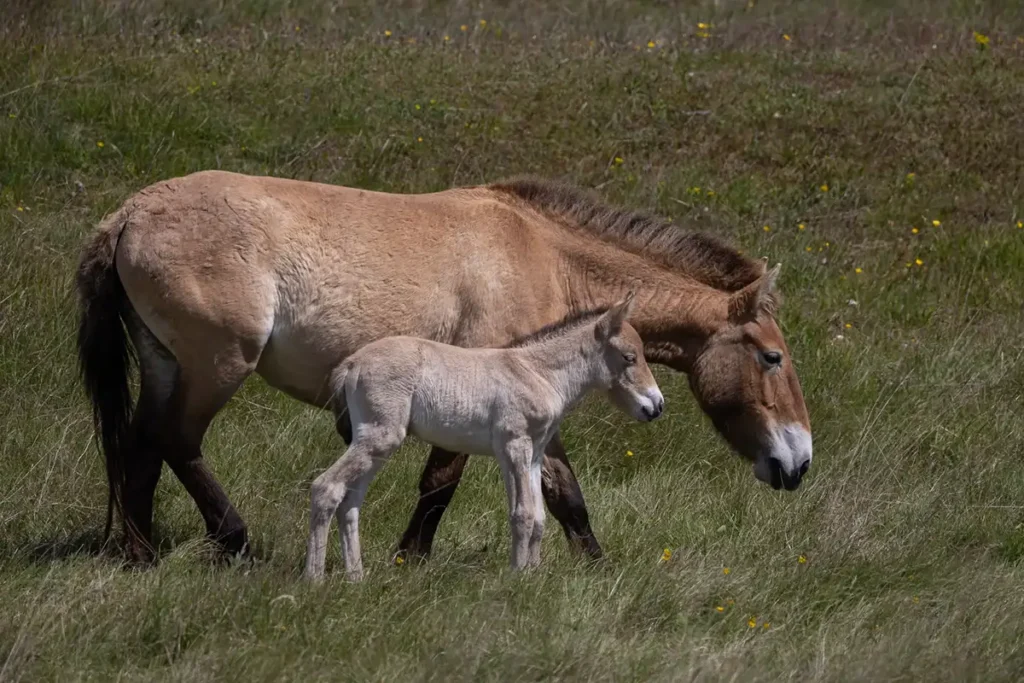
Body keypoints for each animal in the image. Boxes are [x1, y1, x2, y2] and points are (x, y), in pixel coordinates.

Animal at [306, 294, 661, 580]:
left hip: (374, 444)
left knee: (350, 500)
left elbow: (539, 517)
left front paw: (532, 576)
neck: (538, 373)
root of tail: (350, 363)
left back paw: (356, 577)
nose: (656, 406)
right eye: (629, 357)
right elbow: (524, 513)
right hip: (379, 437)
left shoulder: (532, 455)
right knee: (326, 487)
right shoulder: (515, 445)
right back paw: (314, 579)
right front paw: (516, 578)